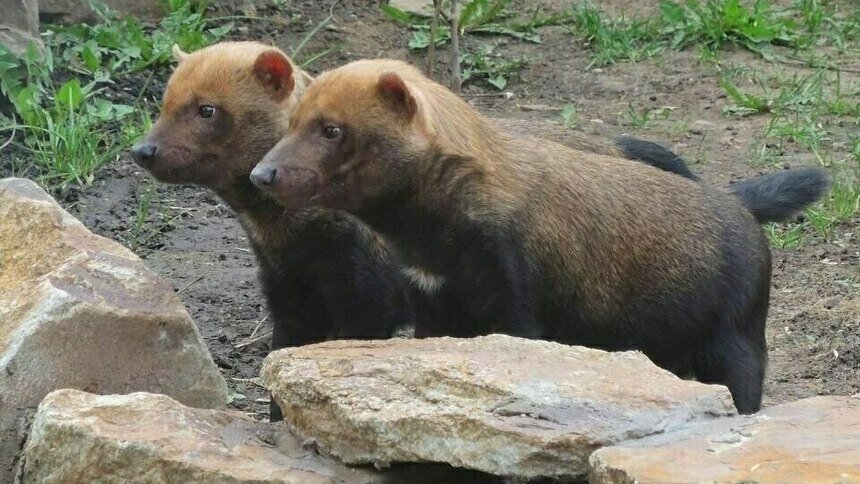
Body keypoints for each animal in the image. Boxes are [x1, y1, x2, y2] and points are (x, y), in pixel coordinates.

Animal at [252, 56, 828, 412]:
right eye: (293, 120)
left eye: (332, 128)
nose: (263, 173)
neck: (438, 246)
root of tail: (739, 205)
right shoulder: (431, 305)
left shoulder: (521, 300)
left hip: (736, 340)